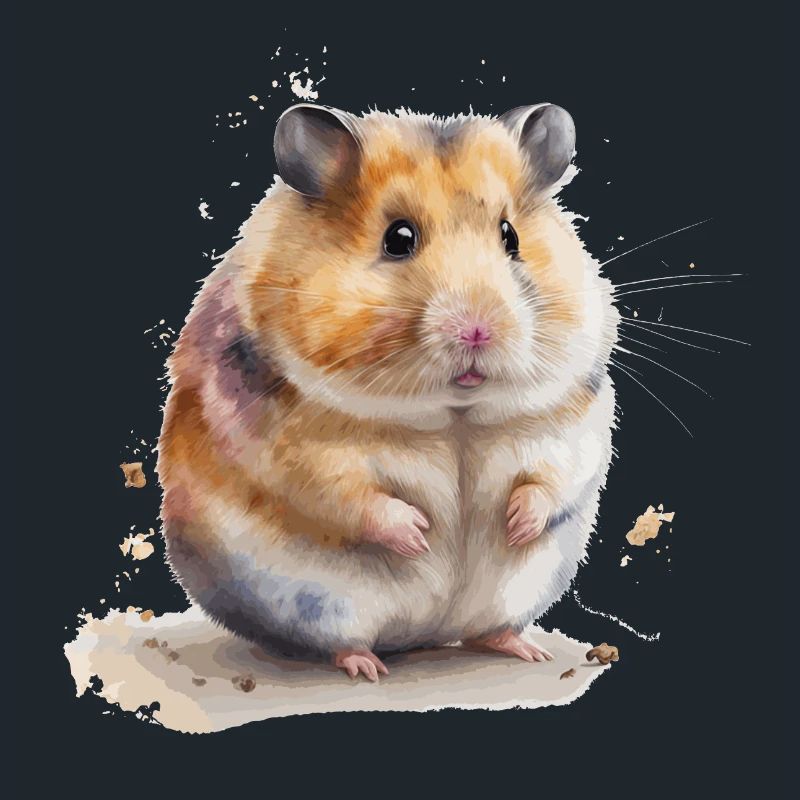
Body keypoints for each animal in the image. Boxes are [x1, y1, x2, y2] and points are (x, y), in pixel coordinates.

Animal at [158, 102, 618, 681]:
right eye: (398, 238)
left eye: (510, 235)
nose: (477, 330)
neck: (455, 413)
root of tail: (425, 636)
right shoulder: (294, 452)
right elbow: (351, 495)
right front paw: (421, 533)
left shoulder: (571, 420)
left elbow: (552, 478)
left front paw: (515, 525)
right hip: (321, 603)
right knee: (340, 640)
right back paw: (367, 667)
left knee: (488, 629)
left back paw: (525, 648)